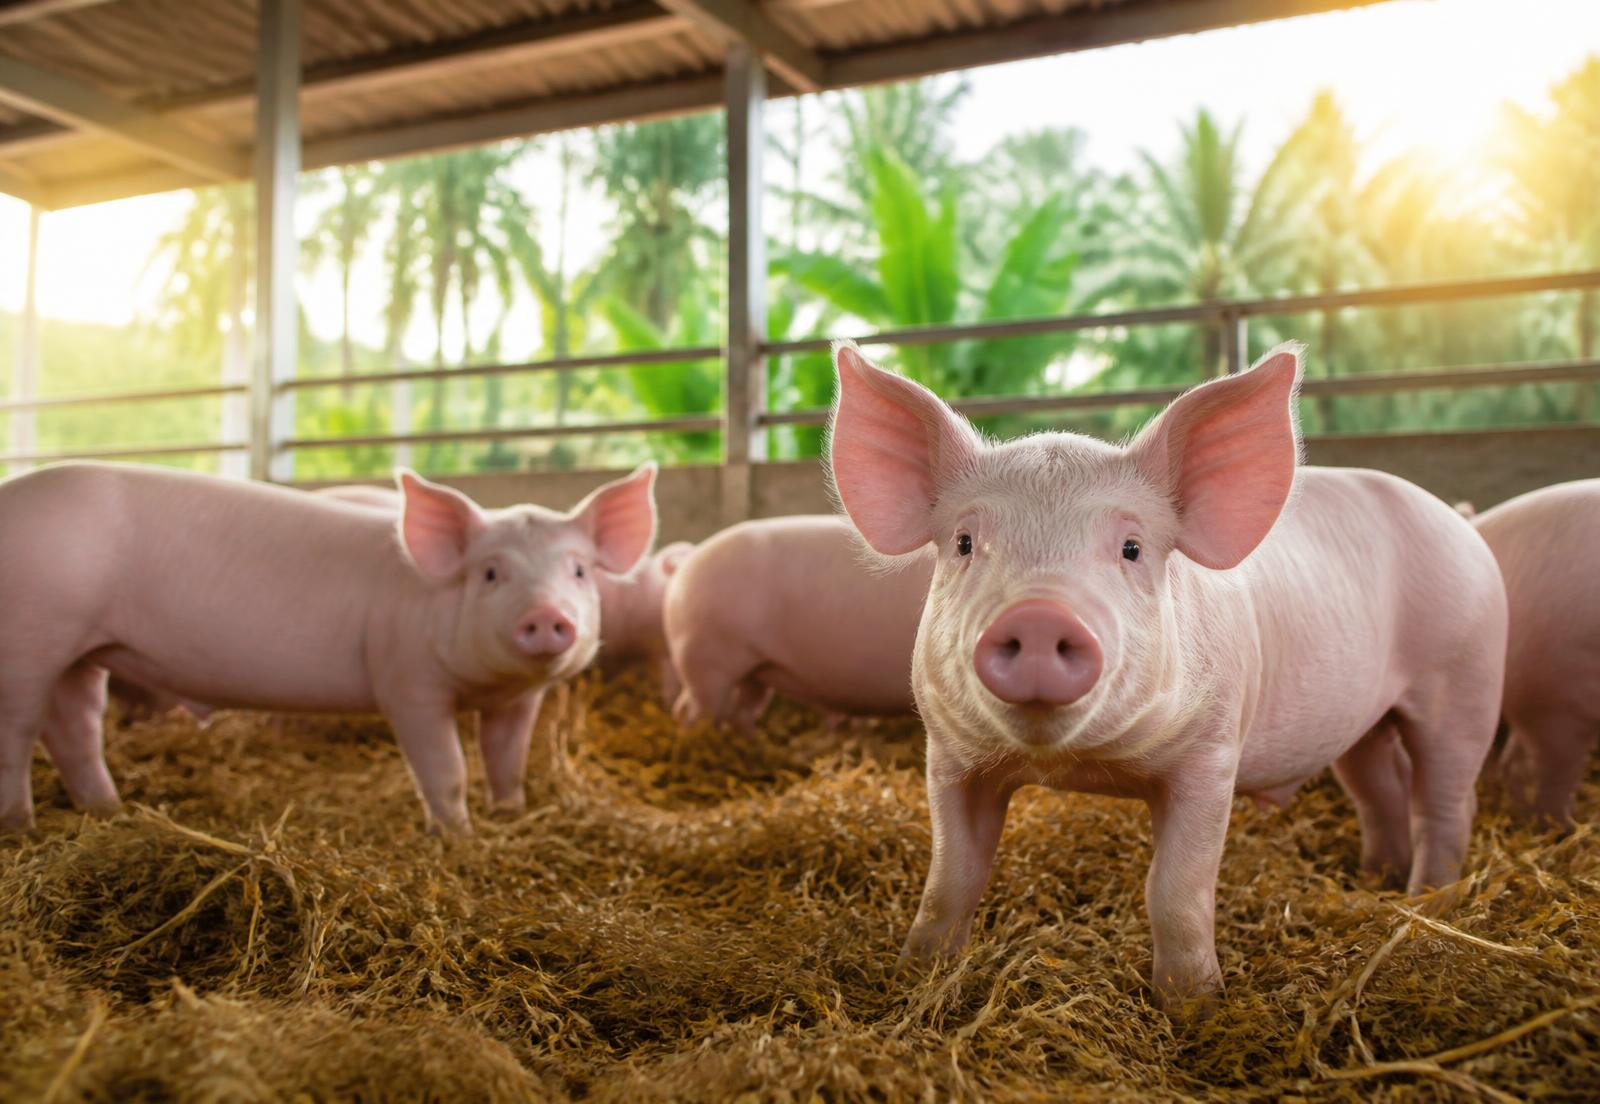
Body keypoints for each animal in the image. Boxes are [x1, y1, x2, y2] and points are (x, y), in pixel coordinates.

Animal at [827, 340, 1507, 1004]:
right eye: (965, 542)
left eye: (1132, 548)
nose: (1041, 614)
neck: (1077, 766)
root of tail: (1462, 525)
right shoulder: (950, 755)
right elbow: (952, 876)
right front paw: (915, 974)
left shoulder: (1211, 754)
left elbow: (1175, 888)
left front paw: (1193, 1006)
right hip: (1363, 719)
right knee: (1378, 785)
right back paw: (1375, 876)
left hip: (1467, 676)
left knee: (1445, 802)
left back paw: (1427, 902)